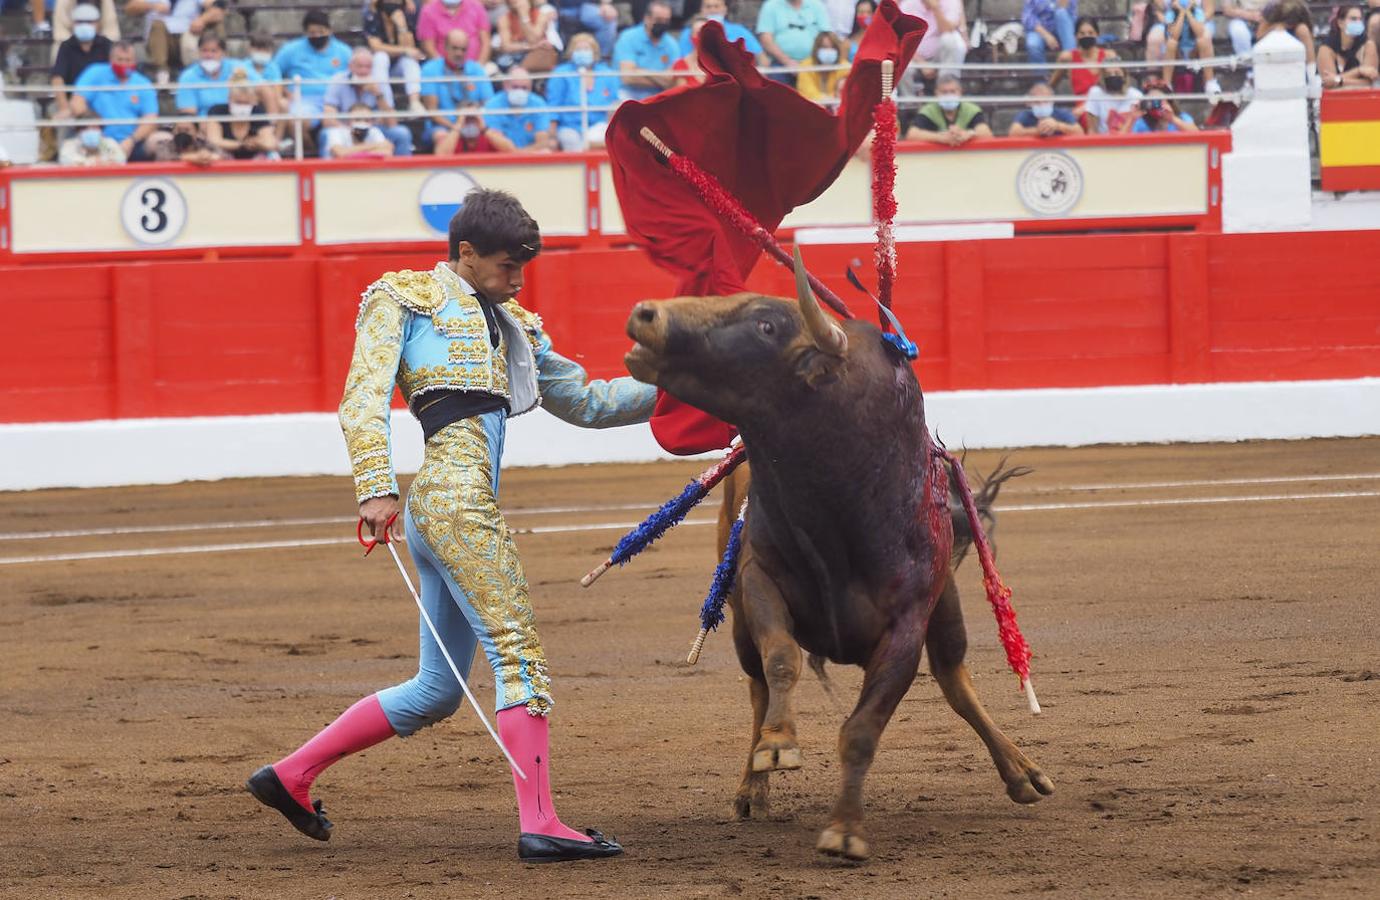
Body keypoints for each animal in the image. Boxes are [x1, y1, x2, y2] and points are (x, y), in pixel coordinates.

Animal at [626, 263, 1054, 861]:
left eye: (766, 325)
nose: (645, 314)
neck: (838, 507)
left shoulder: (907, 625)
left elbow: (862, 729)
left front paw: (846, 831)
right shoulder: (758, 580)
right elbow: (782, 659)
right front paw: (778, 746)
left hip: (945, 606)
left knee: (955, 680)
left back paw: (1022, 772)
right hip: (736, 618)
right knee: (758, 686)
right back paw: (753, 784)